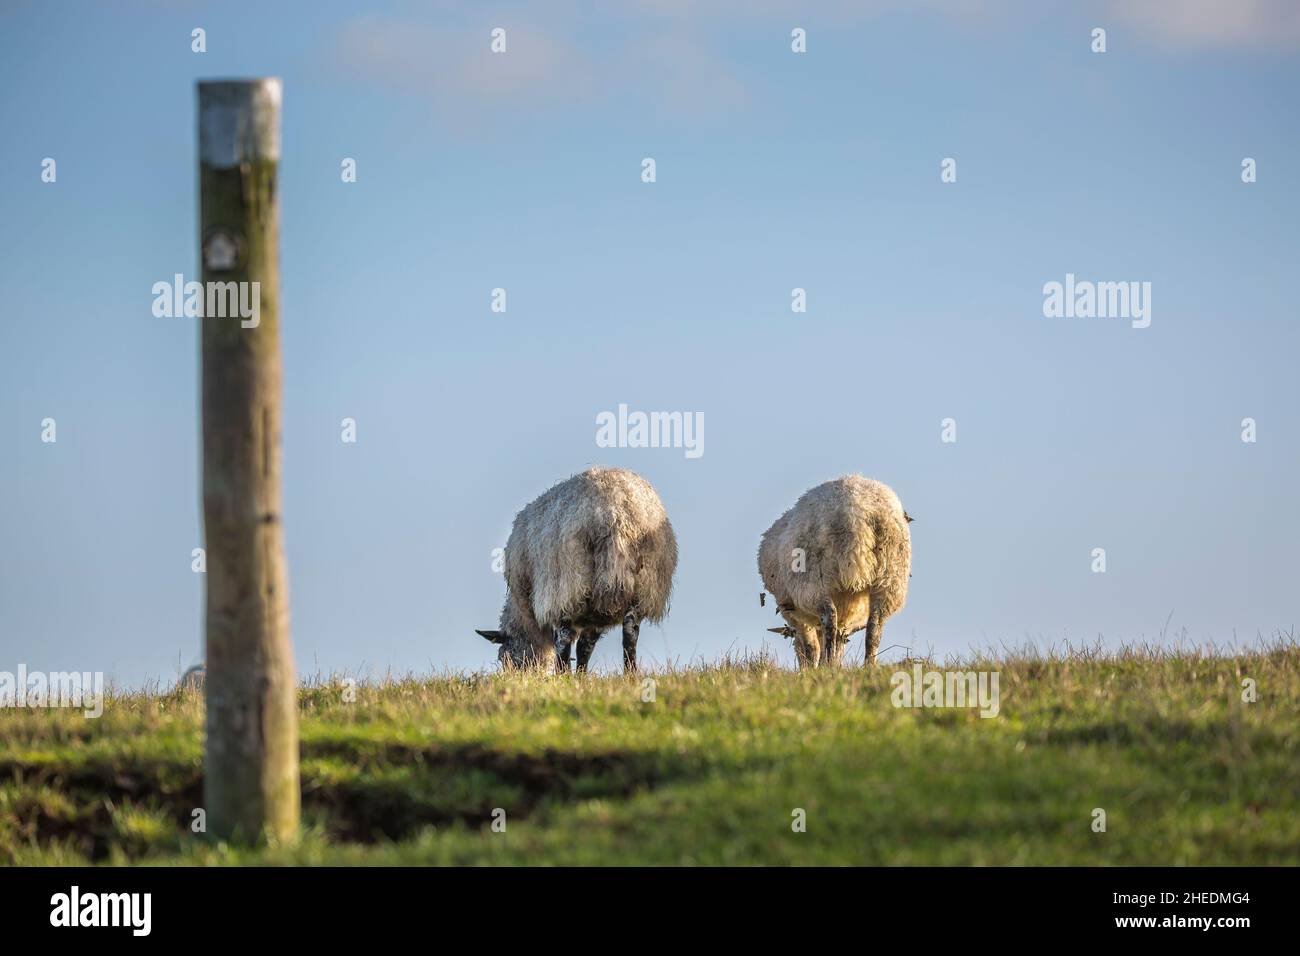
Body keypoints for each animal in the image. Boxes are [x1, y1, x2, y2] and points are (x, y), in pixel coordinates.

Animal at [477, 467, 677, 674]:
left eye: (505, 657)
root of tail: (616, 512)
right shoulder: (595, 616)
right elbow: (585, 647)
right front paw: (581, 675)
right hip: (644, 588)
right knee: (630, 632)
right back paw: (630, 672)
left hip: (565, 585)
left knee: (563, 638)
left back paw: (562, 673)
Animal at [758, 475, 912, 668]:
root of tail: (859, 509)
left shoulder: (793, 613)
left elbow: (811, 646)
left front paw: (811, 668)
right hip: (891, 576)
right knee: (875, 625)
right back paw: (868, 665)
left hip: (811, 580)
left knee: (829, 616)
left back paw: (827, 664)